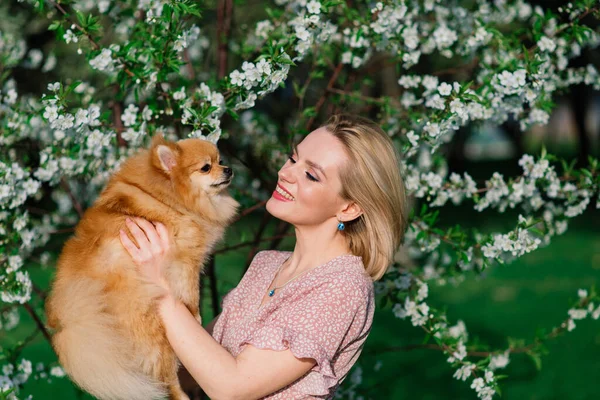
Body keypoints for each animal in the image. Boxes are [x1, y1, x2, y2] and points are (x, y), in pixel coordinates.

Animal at [45, 135, 239, 400]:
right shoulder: (184, 258)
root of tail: (75, 315)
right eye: (206, 167)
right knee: (165, 376)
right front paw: (195, 315)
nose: (228, 169)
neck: (169, 196)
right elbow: (190, 290)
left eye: (221, 160)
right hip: (155, 331)